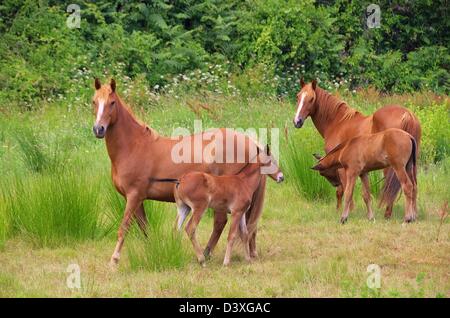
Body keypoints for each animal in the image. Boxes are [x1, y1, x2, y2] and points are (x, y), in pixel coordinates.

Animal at [92, 78, 268, 264]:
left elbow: (124, 226)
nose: (98, 129)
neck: (134, 146)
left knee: (221, 222)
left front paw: (114, 259)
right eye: (94, 101)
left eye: (112, 102)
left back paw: (206, 254)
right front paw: (153, 252)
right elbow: (144, 228)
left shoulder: (134, 196)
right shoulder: (136, 199)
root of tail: (251, 142)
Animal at [294, 79, 420, 219]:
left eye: (311, 99)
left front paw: (347, 211)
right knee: (414, 186)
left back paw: (390, 214)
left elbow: (343, 190)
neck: (337, 123)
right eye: (298, 97)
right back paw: (413, 214)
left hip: (393, 166)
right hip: (411, 164)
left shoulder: (342, 167)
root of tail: (407, 115)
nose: (297, 121)